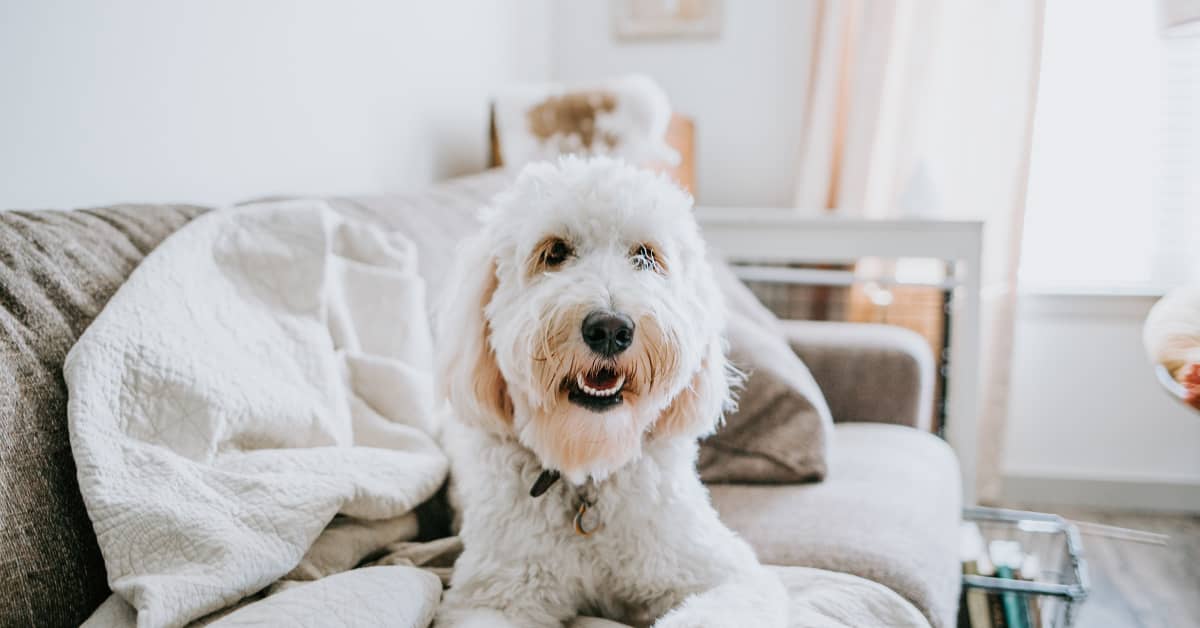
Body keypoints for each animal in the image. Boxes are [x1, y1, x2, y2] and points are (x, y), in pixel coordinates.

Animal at [432, 157, 787, 628]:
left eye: (646, 256)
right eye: (554, 252)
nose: (610, 329)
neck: (589, 468)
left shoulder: (722, 574)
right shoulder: (493, 598)